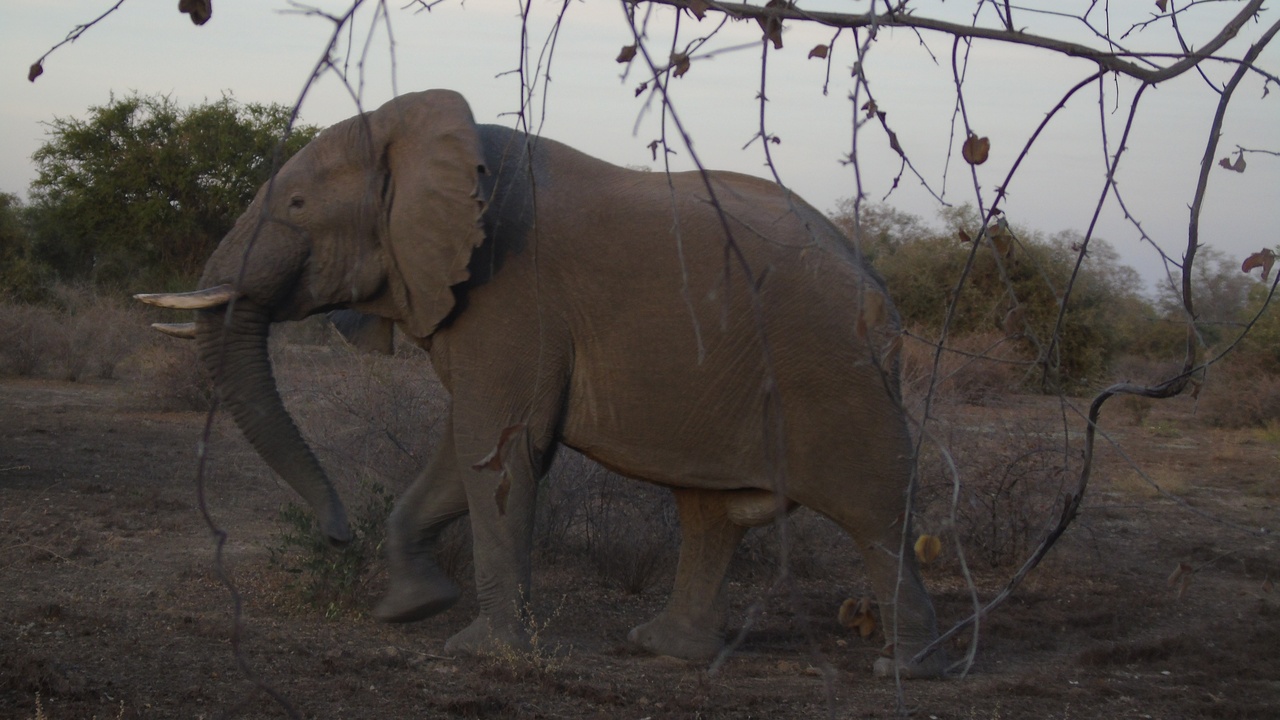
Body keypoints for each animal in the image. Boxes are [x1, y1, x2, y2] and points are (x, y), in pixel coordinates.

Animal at [136, 89, 944, 678]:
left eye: (297, 206)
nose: (335, 537)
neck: (424, 135)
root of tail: (879, 289)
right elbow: (466, 449)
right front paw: (409, 609)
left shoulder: (513, 293)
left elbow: (499, 448)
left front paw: (478, 652)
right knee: (709, 513)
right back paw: (662, 648)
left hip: (833, 373)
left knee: (876, 512)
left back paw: (902, 670)